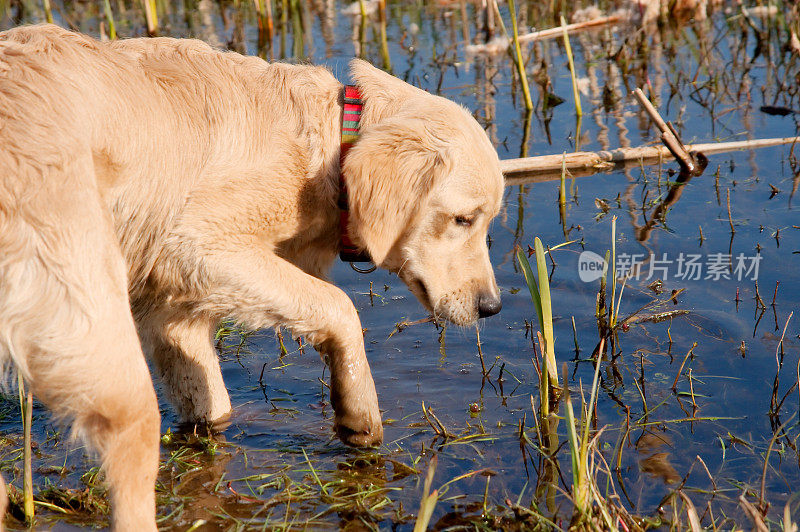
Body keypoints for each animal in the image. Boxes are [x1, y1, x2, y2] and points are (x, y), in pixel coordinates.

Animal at [0, 23, 500, 528]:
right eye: (463, 219)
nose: (491, 307)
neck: (326, 147)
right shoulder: (196, 242)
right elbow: (338, 305)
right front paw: (358, 409)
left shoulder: (169, 303)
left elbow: (211, 403)